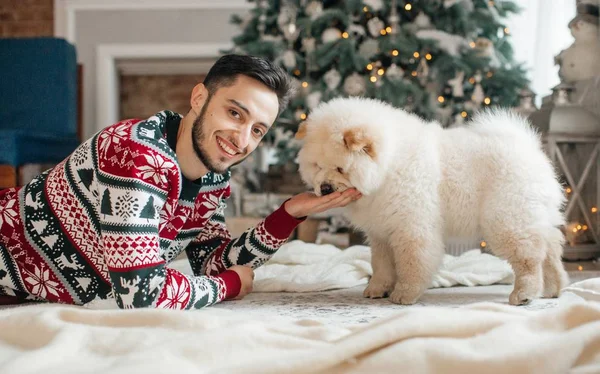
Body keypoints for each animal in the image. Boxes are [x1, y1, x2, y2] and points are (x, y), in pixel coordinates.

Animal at [298, 97, 568, 306]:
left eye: (340, 168)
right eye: (317, 166)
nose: (324, 188)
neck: (387, 167)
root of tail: (529, 149)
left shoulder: (410, 225)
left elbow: (411, 262)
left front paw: (404, 294)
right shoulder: (381, 231)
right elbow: (381, 264)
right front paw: (377, 289)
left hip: (507, 219)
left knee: (529, 258)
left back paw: (524, 294)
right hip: (534, 216)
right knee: (551, 249)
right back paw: (552, 290)